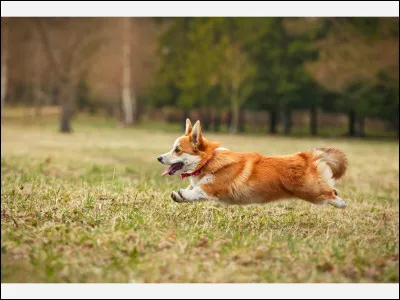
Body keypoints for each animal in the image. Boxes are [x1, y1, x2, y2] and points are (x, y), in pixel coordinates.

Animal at [158, 118, 348, 209]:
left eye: (177, 150)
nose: (159, 158)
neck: (208, 161)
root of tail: (305, 155)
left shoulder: (213, 188)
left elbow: (197, 191)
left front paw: (183, 194)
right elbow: (191, 191)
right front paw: (178, 195)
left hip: (311, 192)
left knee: (329, 193)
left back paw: (341, 203)